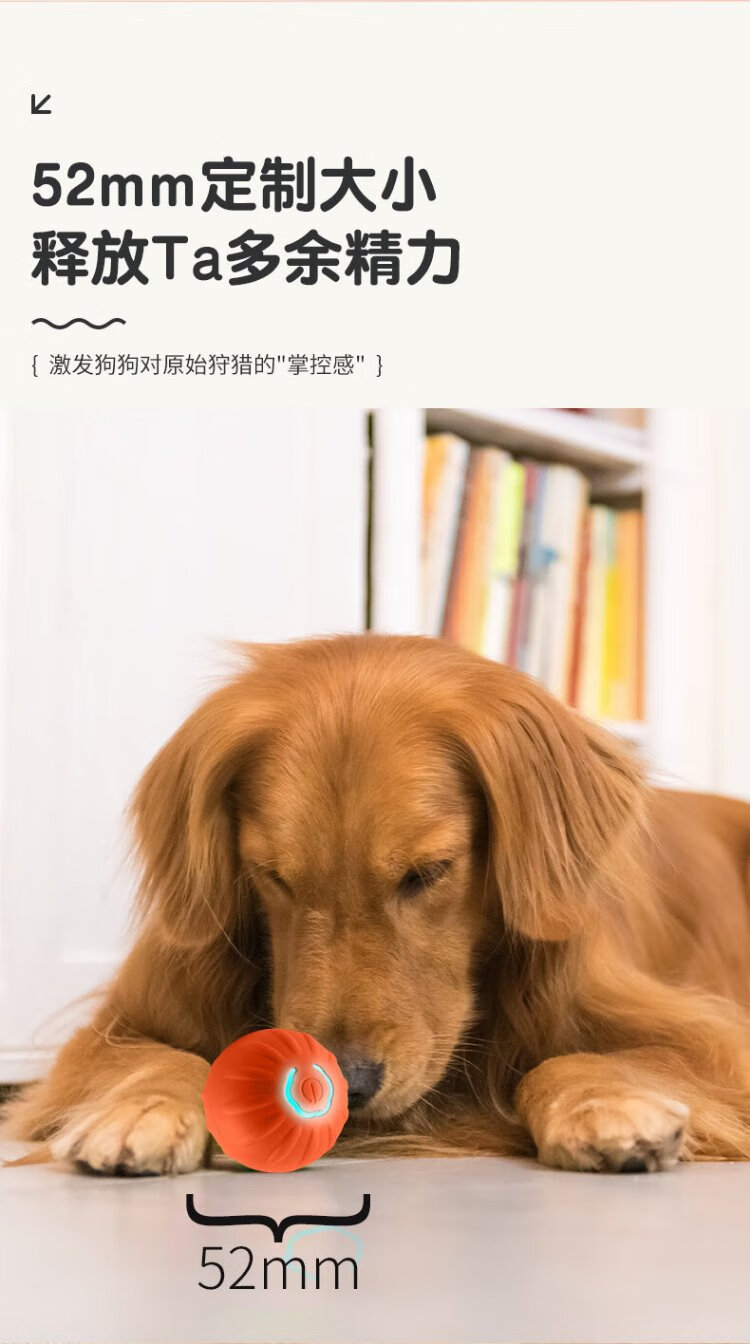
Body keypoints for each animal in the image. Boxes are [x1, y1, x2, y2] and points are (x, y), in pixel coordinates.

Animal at [5, 635, 750, 1175]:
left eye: (428, 873)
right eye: (272, 876)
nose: (341, 1082)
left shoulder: (709, 1039)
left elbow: (569, 1058)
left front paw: (607, 1104)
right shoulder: (116, 1025)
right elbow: (161, 1055)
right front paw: (144, 1107)